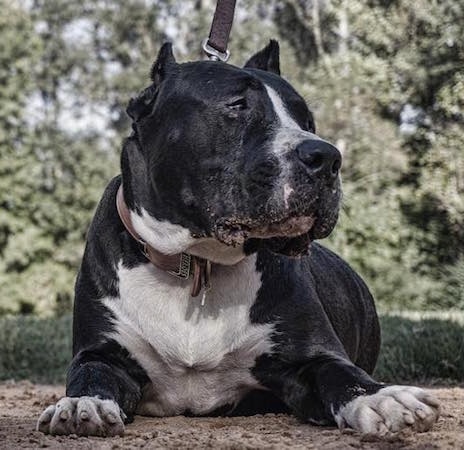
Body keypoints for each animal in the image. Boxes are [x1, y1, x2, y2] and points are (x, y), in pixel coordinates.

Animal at [38, 41, 440, 436]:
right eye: (237, 105)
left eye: (307, 121)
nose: (327, 157)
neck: (198, 264)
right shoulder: (102, 353)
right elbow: (91, 375)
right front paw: (82, 403)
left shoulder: (313, 355)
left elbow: (343, 375)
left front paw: (382, 398)